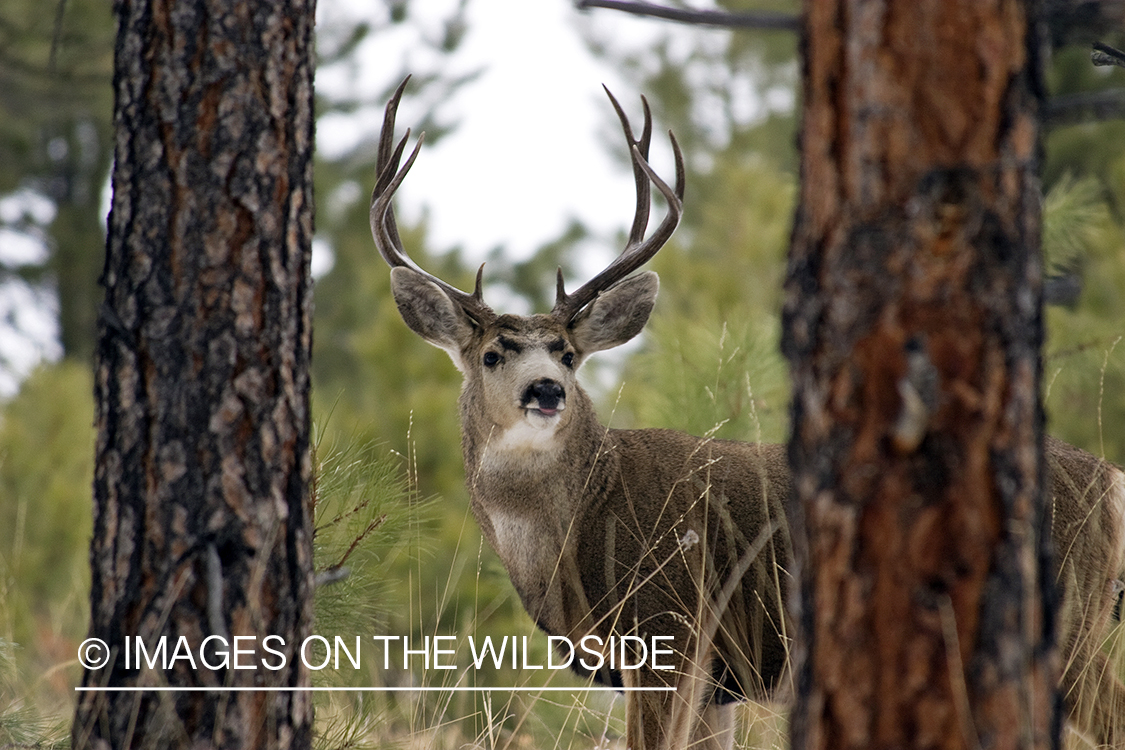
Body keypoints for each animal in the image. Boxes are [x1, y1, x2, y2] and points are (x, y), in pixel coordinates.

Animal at [369, 78, 1125, 750]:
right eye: (494, 354)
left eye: (567, 352)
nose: (546, 391)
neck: (576, 529)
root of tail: (1112, 481)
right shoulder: (716, 684)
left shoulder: (673, 633)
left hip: (1066, 620)